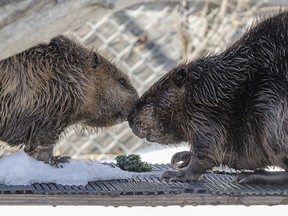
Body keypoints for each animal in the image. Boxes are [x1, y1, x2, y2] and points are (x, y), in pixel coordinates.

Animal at [128, 10, 288, 184]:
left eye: (148, 99)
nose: (129, 118)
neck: (208, 87)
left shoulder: (204, 114)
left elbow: (208, 152)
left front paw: (176, 174)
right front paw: (181, 157)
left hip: (269, 110)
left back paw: (250, 176)